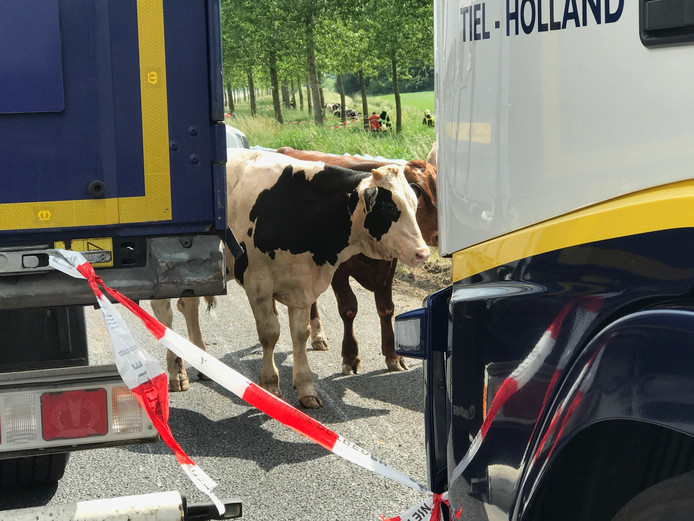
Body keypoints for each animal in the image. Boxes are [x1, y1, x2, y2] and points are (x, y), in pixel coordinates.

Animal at [274, 146, 438, 374]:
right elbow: (348, 308)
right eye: (423, 193)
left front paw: (393, 355)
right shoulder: (338, 270)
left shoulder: (388, 267)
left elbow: (386, 307)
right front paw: (350, 356)